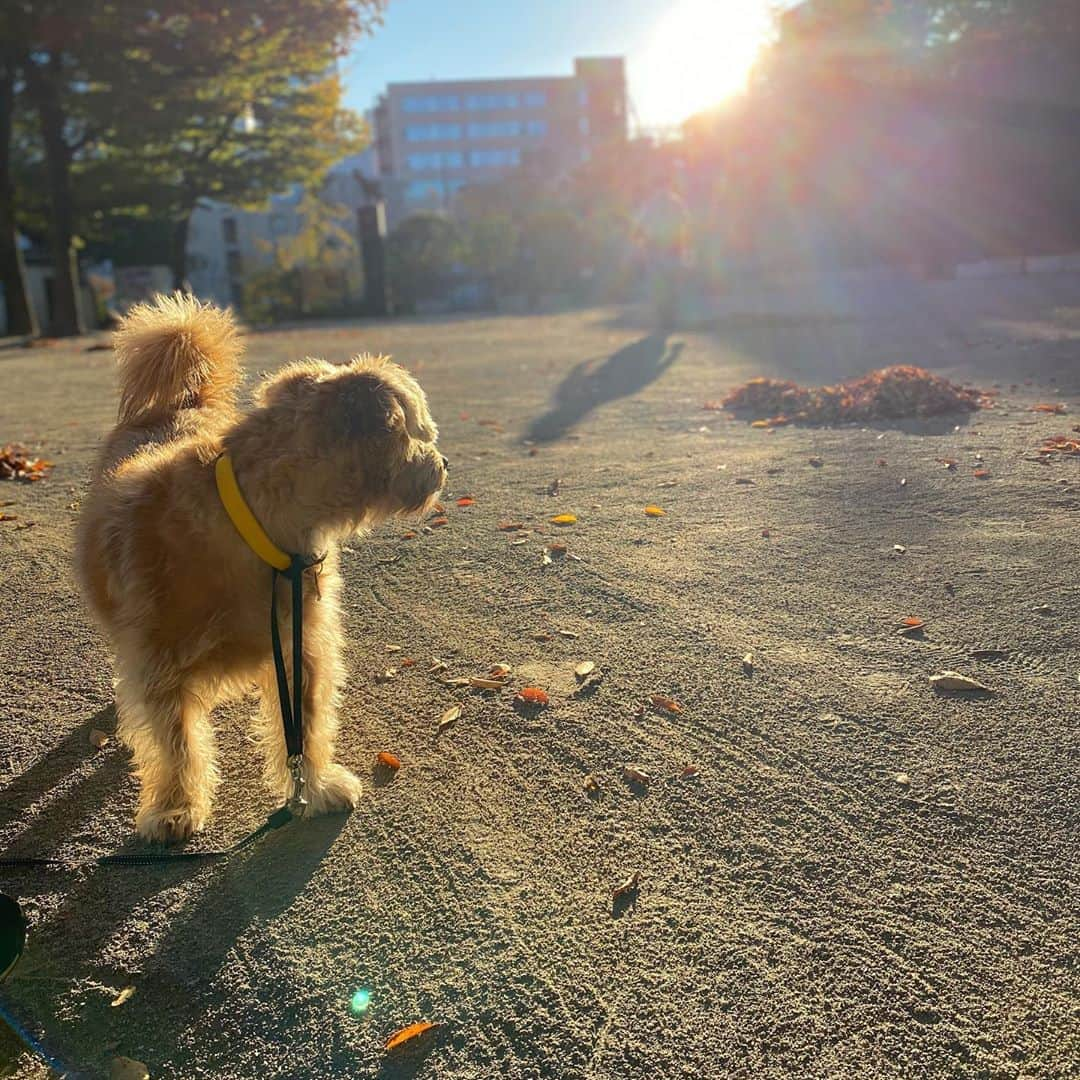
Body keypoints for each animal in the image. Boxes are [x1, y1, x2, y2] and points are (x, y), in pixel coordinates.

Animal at [77, 293, 447, 842]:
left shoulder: (301, 649)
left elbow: (306, 728)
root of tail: (178, 404)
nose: (443, 465)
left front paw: (314, 787)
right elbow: (176, 744)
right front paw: (175, 807)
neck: (254, 522)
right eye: (416, 432)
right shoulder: (162, 668)